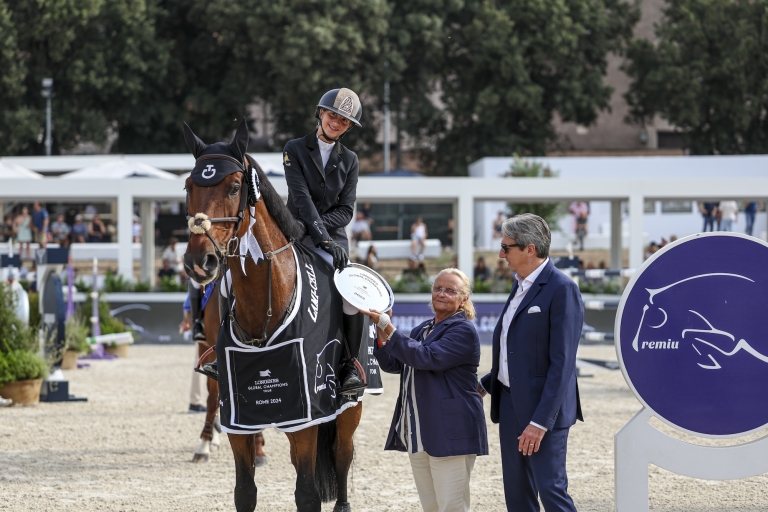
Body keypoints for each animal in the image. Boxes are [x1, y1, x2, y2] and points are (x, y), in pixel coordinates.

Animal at [183, 118, 364, 510]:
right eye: (189, 185)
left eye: (235, 186)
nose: (199, 261)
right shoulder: (239, 417)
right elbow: (244, 492)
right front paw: (207, 445)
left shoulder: (305, 420)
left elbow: (308, 494)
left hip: (349, 406)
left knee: (343, 454)